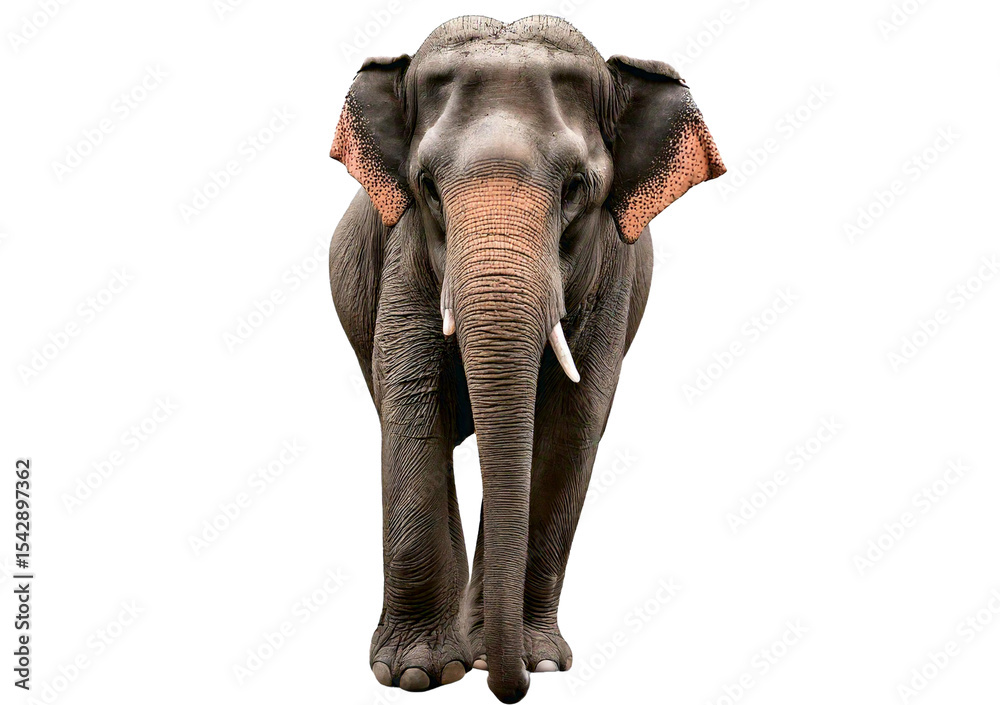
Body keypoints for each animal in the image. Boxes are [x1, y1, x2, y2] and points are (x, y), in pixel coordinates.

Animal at [328, 15, 724, 703]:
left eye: (574, 189)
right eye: (427, 188)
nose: (508, 689)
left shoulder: (611, 271)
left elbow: (573, 419)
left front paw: (535, 662)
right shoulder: (405, 252)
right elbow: (410, 398)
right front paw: (415, 675)